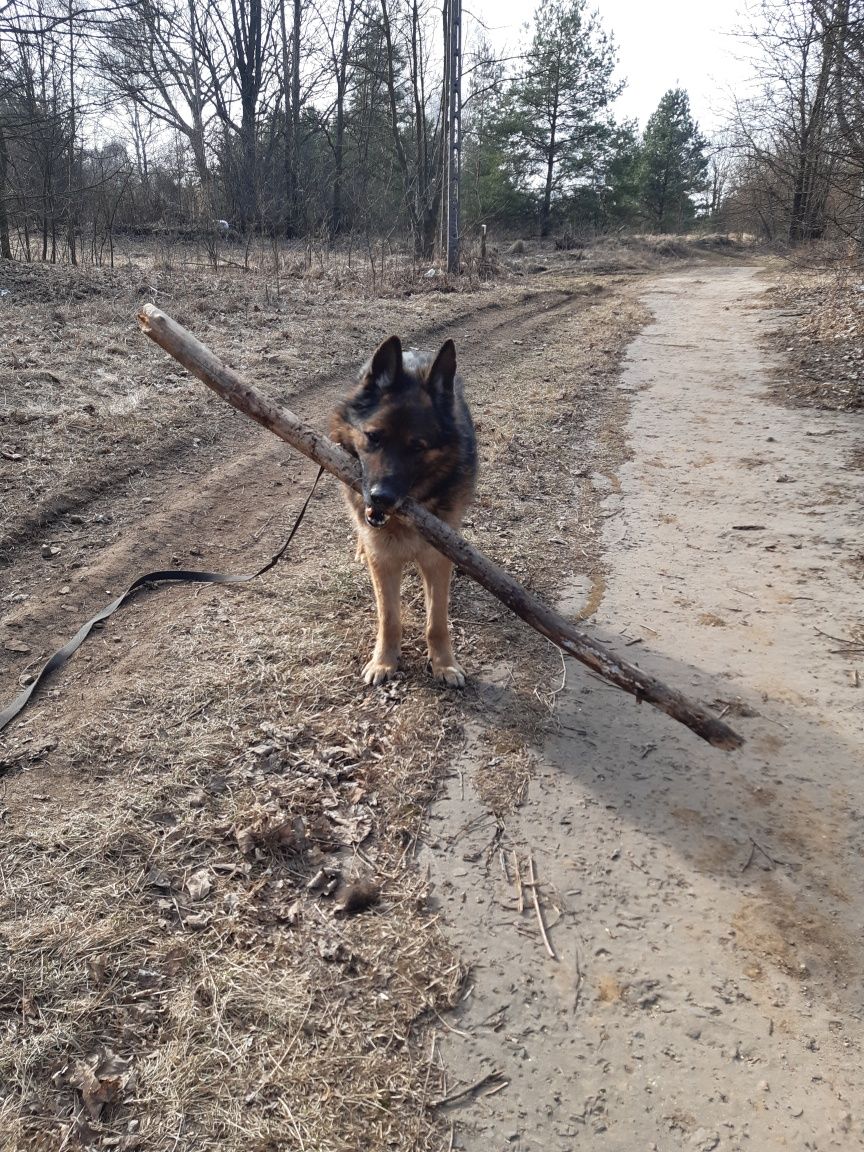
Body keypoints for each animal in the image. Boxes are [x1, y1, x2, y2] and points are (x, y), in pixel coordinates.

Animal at [331, 336, 481, 686]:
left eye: (417, 447)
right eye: (373, 436)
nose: (380, 498)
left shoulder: (436, 559)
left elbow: (436, 621)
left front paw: (444, 664)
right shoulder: (384, 561)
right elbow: (389, 618)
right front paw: (384, 661)